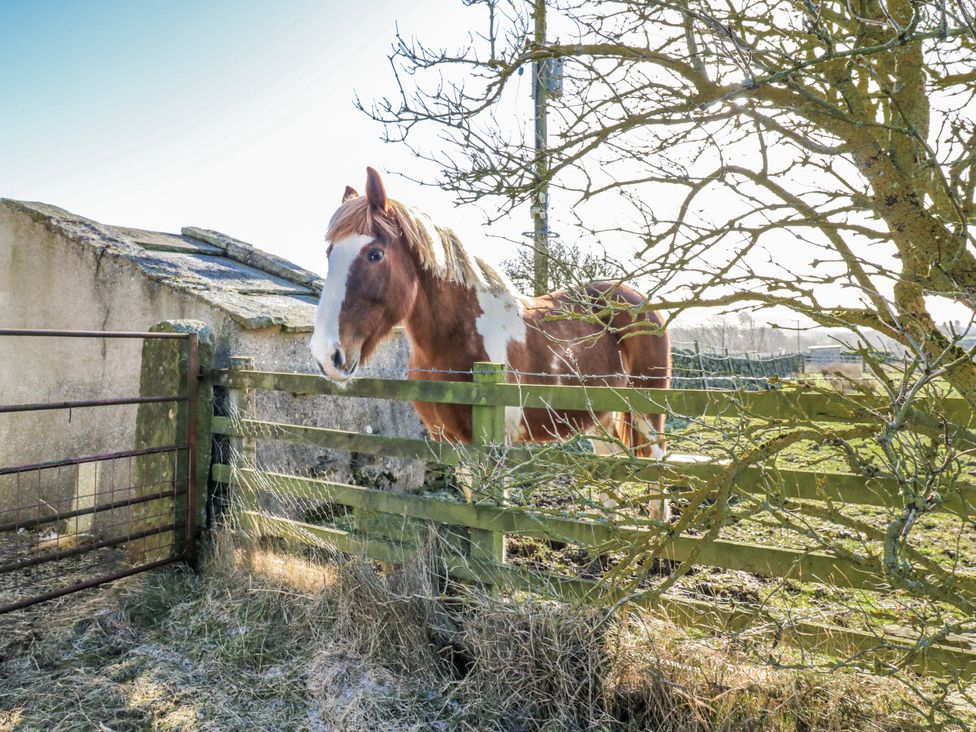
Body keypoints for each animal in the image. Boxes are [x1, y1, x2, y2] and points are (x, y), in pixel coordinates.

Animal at [309, 167, 672, 519]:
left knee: (659, 481)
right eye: (329, 253)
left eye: (374, 254)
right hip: (599, 417)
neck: (458, 337)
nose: (327, 355)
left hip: (648, 414)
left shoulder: (493, 445)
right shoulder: (454, 442)